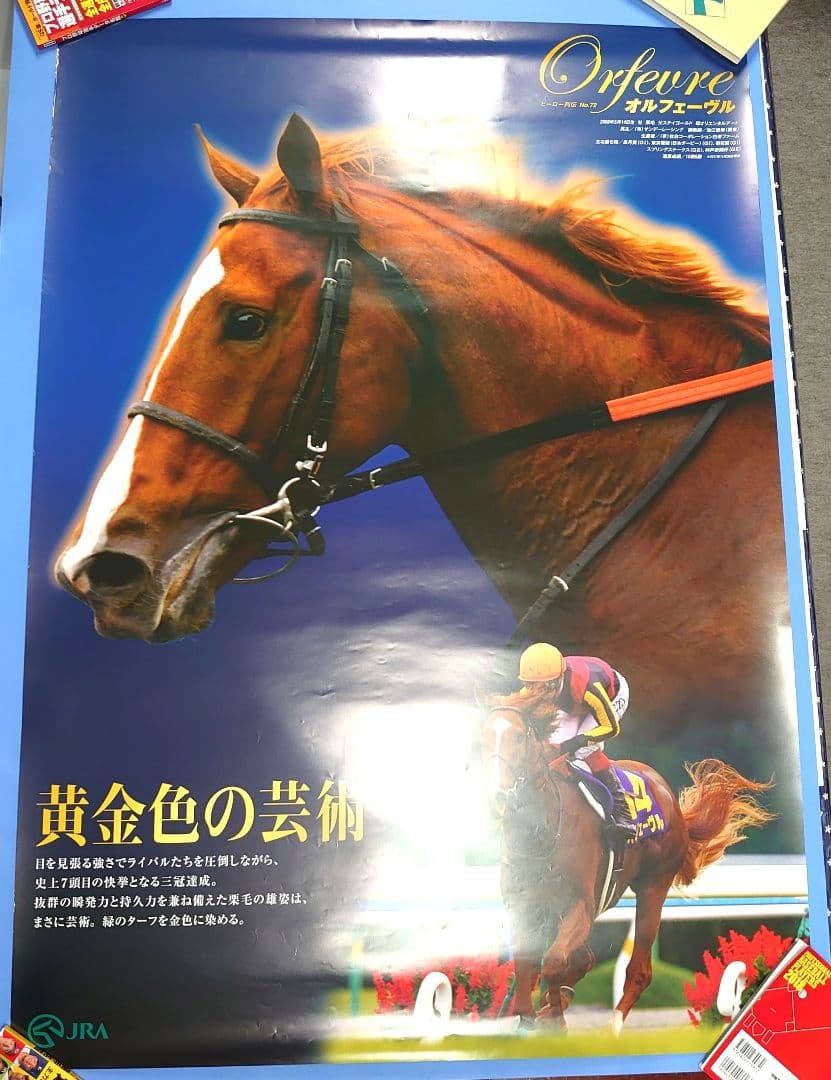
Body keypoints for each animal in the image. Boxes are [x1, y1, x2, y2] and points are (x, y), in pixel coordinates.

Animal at [480, 703, 773, 1032]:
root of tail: (671, 801)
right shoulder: (524, 905)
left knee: (639, 969)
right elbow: (526, 961)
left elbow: (554, 961)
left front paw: (555, 1020)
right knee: (585, 958)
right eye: (482, 739)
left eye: (519, 738)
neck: (542, 828)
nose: (496, 797)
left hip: (653, 889)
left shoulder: (580, 904)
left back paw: (612, 1026)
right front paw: (531, 1016)